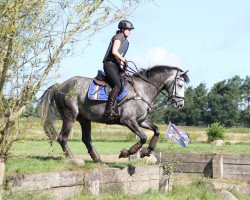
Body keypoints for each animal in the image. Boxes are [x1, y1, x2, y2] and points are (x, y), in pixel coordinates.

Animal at [38, 65, 188, 162]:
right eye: (180, 85)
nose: (180, 105)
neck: (142, 90)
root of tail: (60, 86)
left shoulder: (140, 121)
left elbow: (156, 130)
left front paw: (146, 152)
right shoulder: (128, 120)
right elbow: (143, 137)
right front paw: (127, 152)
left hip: (84, 119)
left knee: (86, 139)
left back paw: (97, 158)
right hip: (70, 116)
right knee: (62, 138)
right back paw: (72, 158)